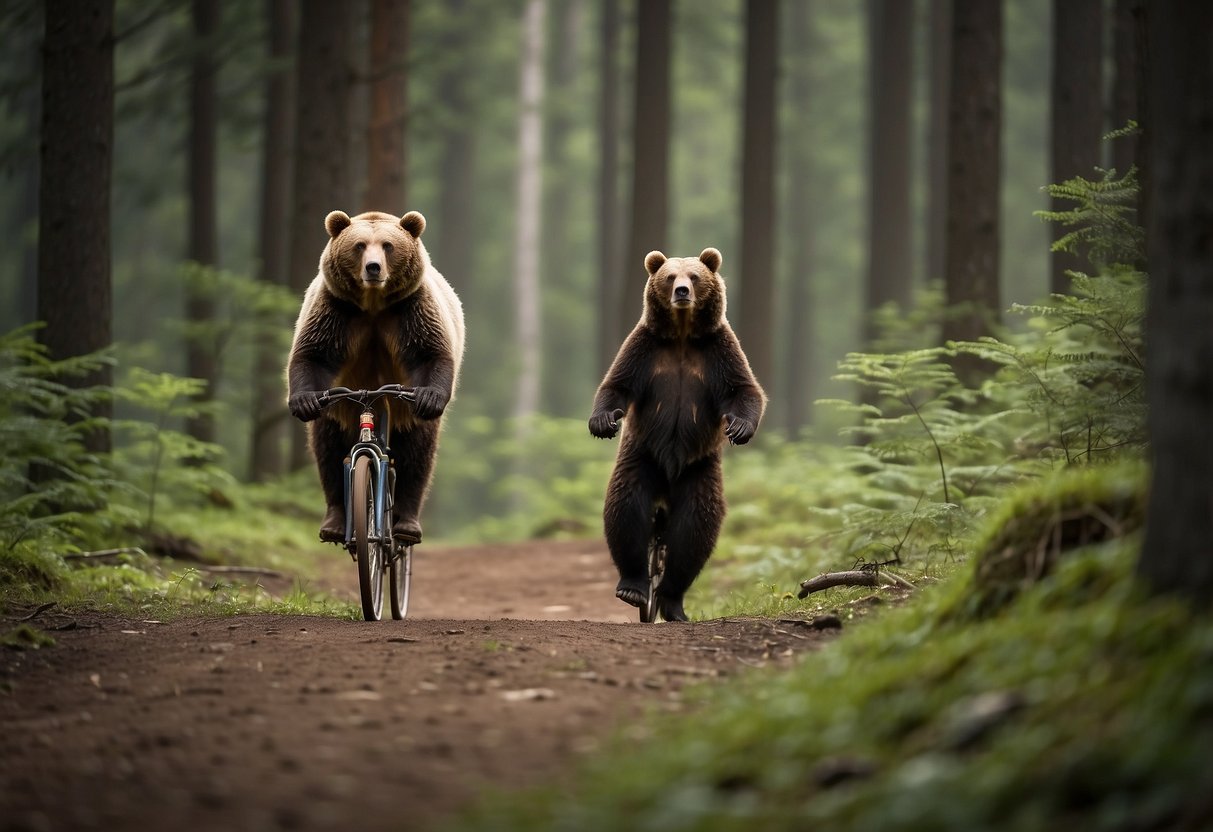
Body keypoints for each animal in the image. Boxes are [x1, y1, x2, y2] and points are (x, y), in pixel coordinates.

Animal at [286, 208, 465, 548]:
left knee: (418, 454)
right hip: (338, 405)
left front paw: (432, 396)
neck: (373, 303)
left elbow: (431, 352)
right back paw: (333, 521)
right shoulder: (336, 310)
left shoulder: (411, 310)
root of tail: (374, 396)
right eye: (359, 245)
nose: (373, 267)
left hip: (405, 408)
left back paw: (407, 523)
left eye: (388, 245)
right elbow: (312, 353)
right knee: (327, 447)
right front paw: (301, 400)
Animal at [589, 244, 766, 620]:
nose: (682, 292)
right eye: (670, 276)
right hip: (642, 455)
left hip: (700, 468)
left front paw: (740, 427)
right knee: (625, 504)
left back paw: (672, 600)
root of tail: (669, 477)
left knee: (697, 525)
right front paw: (603, 421)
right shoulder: (645, 348)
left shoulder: (718, 350)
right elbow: (617, 384)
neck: (683, 335)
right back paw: (633, 586)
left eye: (695, 276)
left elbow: (744, 388)